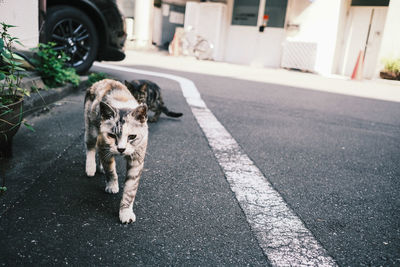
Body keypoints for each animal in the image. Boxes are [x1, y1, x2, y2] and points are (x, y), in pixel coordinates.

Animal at [84, 79, 148, 224]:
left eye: (132, 136)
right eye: (112, 135)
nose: (121, 149)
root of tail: (100, 81)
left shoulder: (137, 158)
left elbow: (130, 189)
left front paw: (125, 212)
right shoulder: (104, 143)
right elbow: (111, 171)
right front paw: (112, 185)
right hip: (92, 128)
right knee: (90, 147)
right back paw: (91, 168)